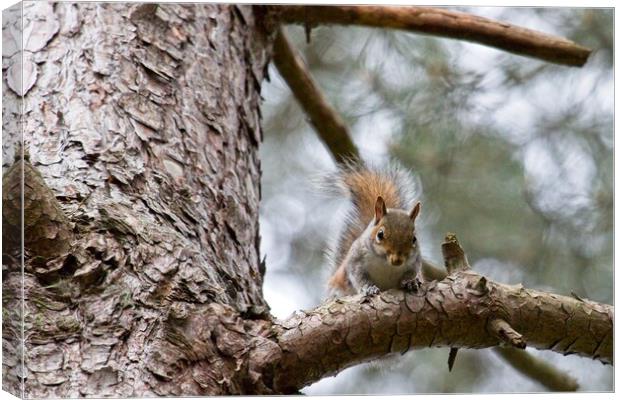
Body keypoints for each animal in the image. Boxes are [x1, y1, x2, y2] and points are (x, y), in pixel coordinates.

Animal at [324, 161, 422, 296]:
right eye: (380, 234)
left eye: (414, 239)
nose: (397, 260)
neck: (385, 263)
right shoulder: (356, 261)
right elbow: (359, 277)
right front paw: (369, 288)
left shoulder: (414, 262)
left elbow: (411, 273)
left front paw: (410, 281)